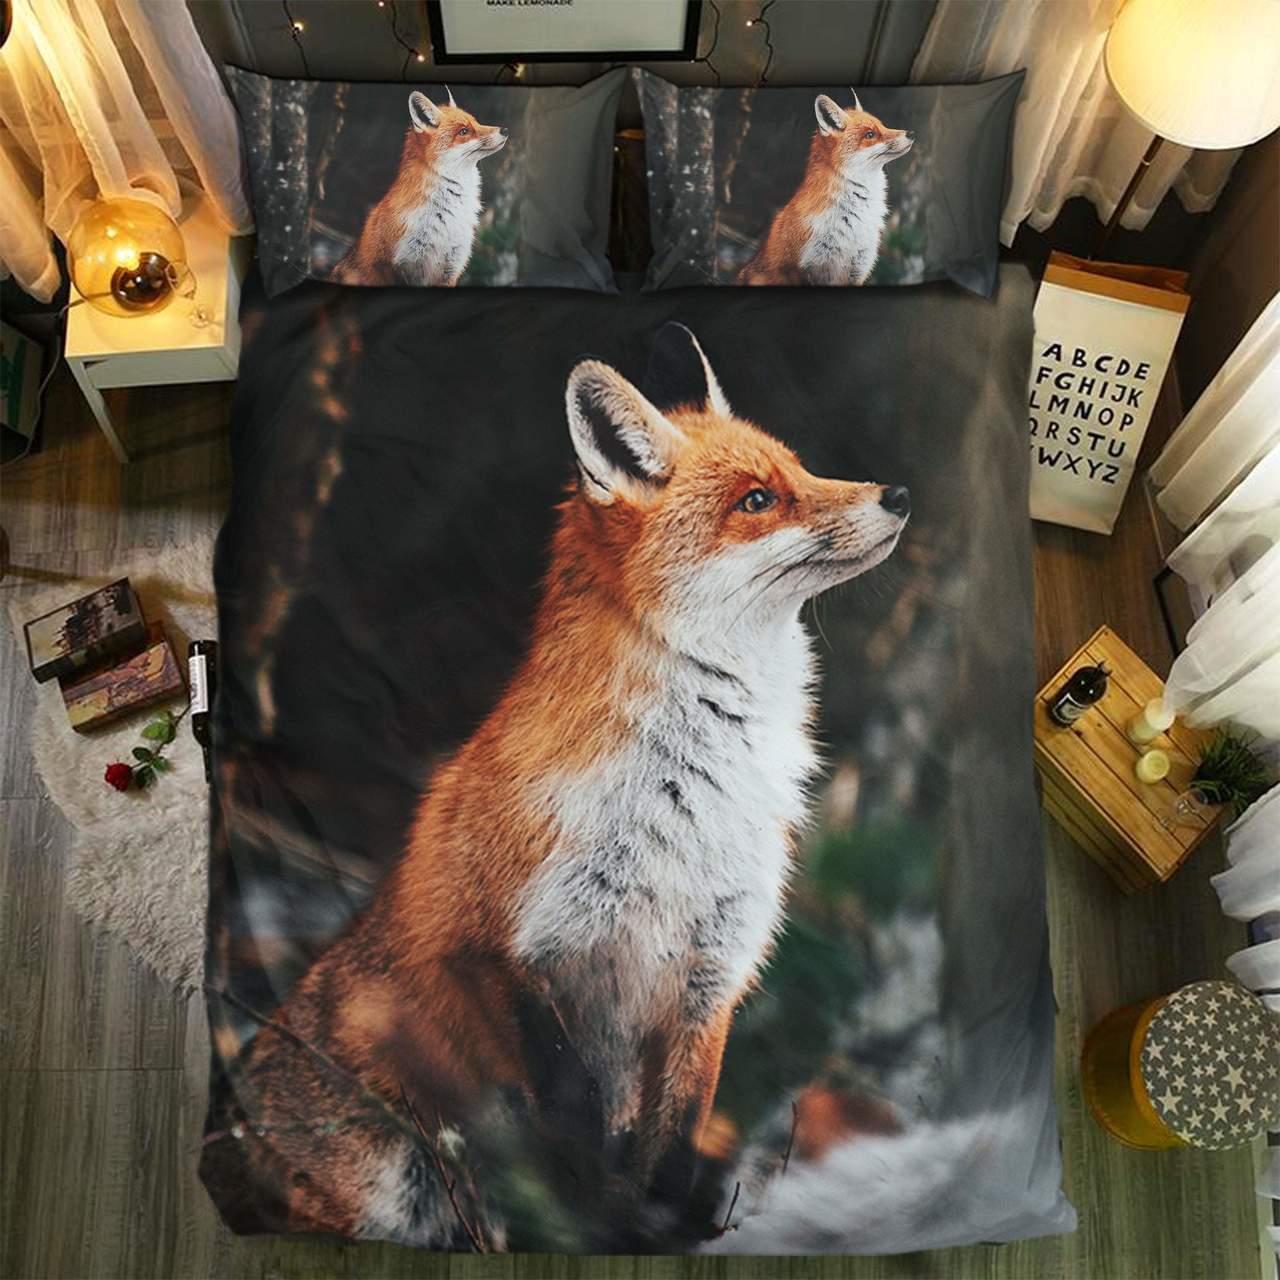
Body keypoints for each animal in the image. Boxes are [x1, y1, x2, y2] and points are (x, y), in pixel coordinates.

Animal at [201, 323, 910, 1249]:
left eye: (801, 469)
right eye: (758, 500)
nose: (899, 492)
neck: (688, 801)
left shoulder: (711, 976)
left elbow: (670, 1148)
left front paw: (654, 1229)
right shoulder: (501, 949)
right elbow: (577, 1130)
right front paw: (599, 1225)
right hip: (387, 1180)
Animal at [330, 89, 507, 288]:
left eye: (476, 122)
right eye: (464, 131)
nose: (505, 130)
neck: (446, 218)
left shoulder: (450, 269)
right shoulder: (396, 266)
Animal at [738, 91, 912, 287]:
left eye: (883, 125)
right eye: (870, 134)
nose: (911, 133)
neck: (853, 222)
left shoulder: (858, 269)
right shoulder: (803, 269)